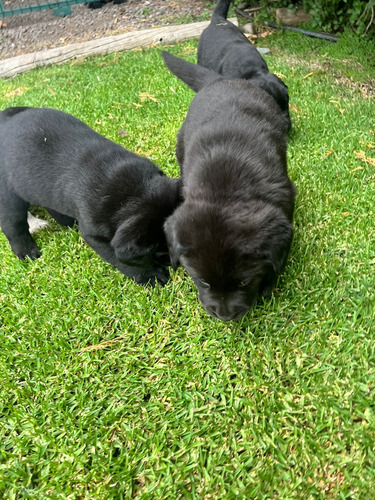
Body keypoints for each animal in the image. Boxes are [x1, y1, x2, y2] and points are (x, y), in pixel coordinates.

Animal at [0, 106, 182, 286]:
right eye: (160, 250)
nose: (175, 263)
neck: (135, 194)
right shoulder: (95, 236)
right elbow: (120, 259)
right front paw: (150, 275)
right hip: (9, 197)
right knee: (14, 226)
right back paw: (26, 251)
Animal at [162, 51, 296, 320]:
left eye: (244, 282)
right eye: (203, 282)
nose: (224, 316)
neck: (225, 192)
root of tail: (223, 79)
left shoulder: (286, 202)